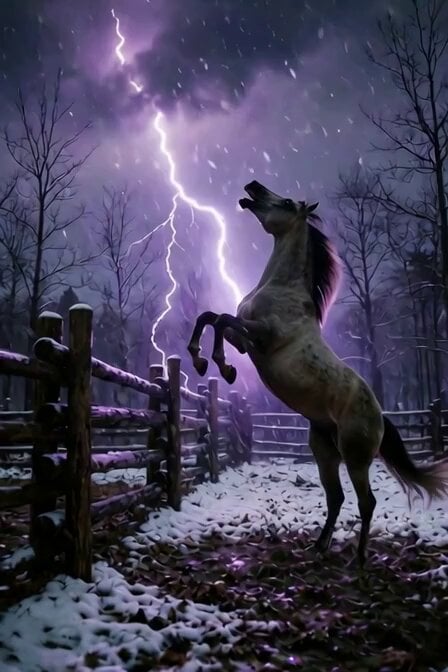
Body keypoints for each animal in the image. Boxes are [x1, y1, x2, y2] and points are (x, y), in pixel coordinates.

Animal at [187, 180, 448, 566]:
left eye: (285, 202)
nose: (252, 187)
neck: (282, 289)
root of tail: (381, 416)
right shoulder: (246, 340)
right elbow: (211, 317)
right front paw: (201, 360)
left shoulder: (262, 336)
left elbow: (220, 319)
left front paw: (223, 367)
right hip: (324, 453)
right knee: (335, 497)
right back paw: (318, 547)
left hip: (356, 459)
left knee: (366, 502)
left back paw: (359, 558)